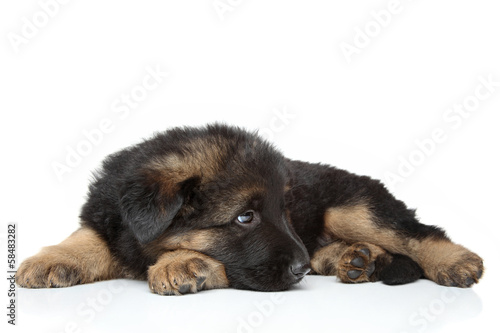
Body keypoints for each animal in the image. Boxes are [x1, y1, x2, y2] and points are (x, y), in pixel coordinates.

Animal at [17, 122, 482, 294]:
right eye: (245, 217)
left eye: (284, 211)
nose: (299, 270)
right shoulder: (110, 218)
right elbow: (86, 236)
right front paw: (52, 258)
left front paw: (181, 262)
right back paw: (354, 259)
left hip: (350, 207)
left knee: (418, 232)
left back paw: (455, 261)